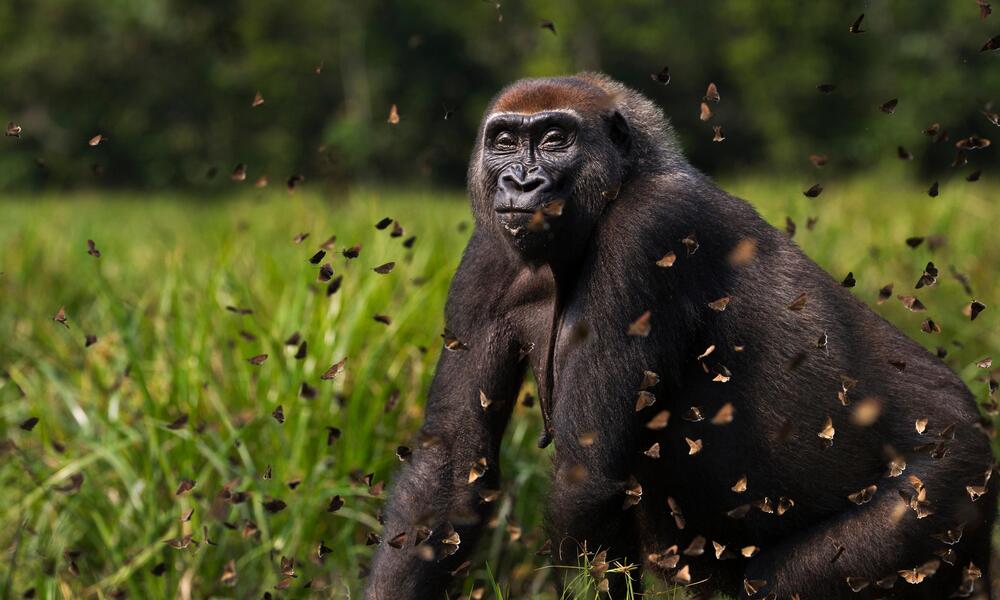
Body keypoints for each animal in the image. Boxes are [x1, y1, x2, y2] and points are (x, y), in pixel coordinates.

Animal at [362, 74, 992, 600]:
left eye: (555, 138)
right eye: (505, 142)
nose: (520, 182)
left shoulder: (647, 230)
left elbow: (587, 477)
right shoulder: (485, 257)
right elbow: (450, 468)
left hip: (948, 485)